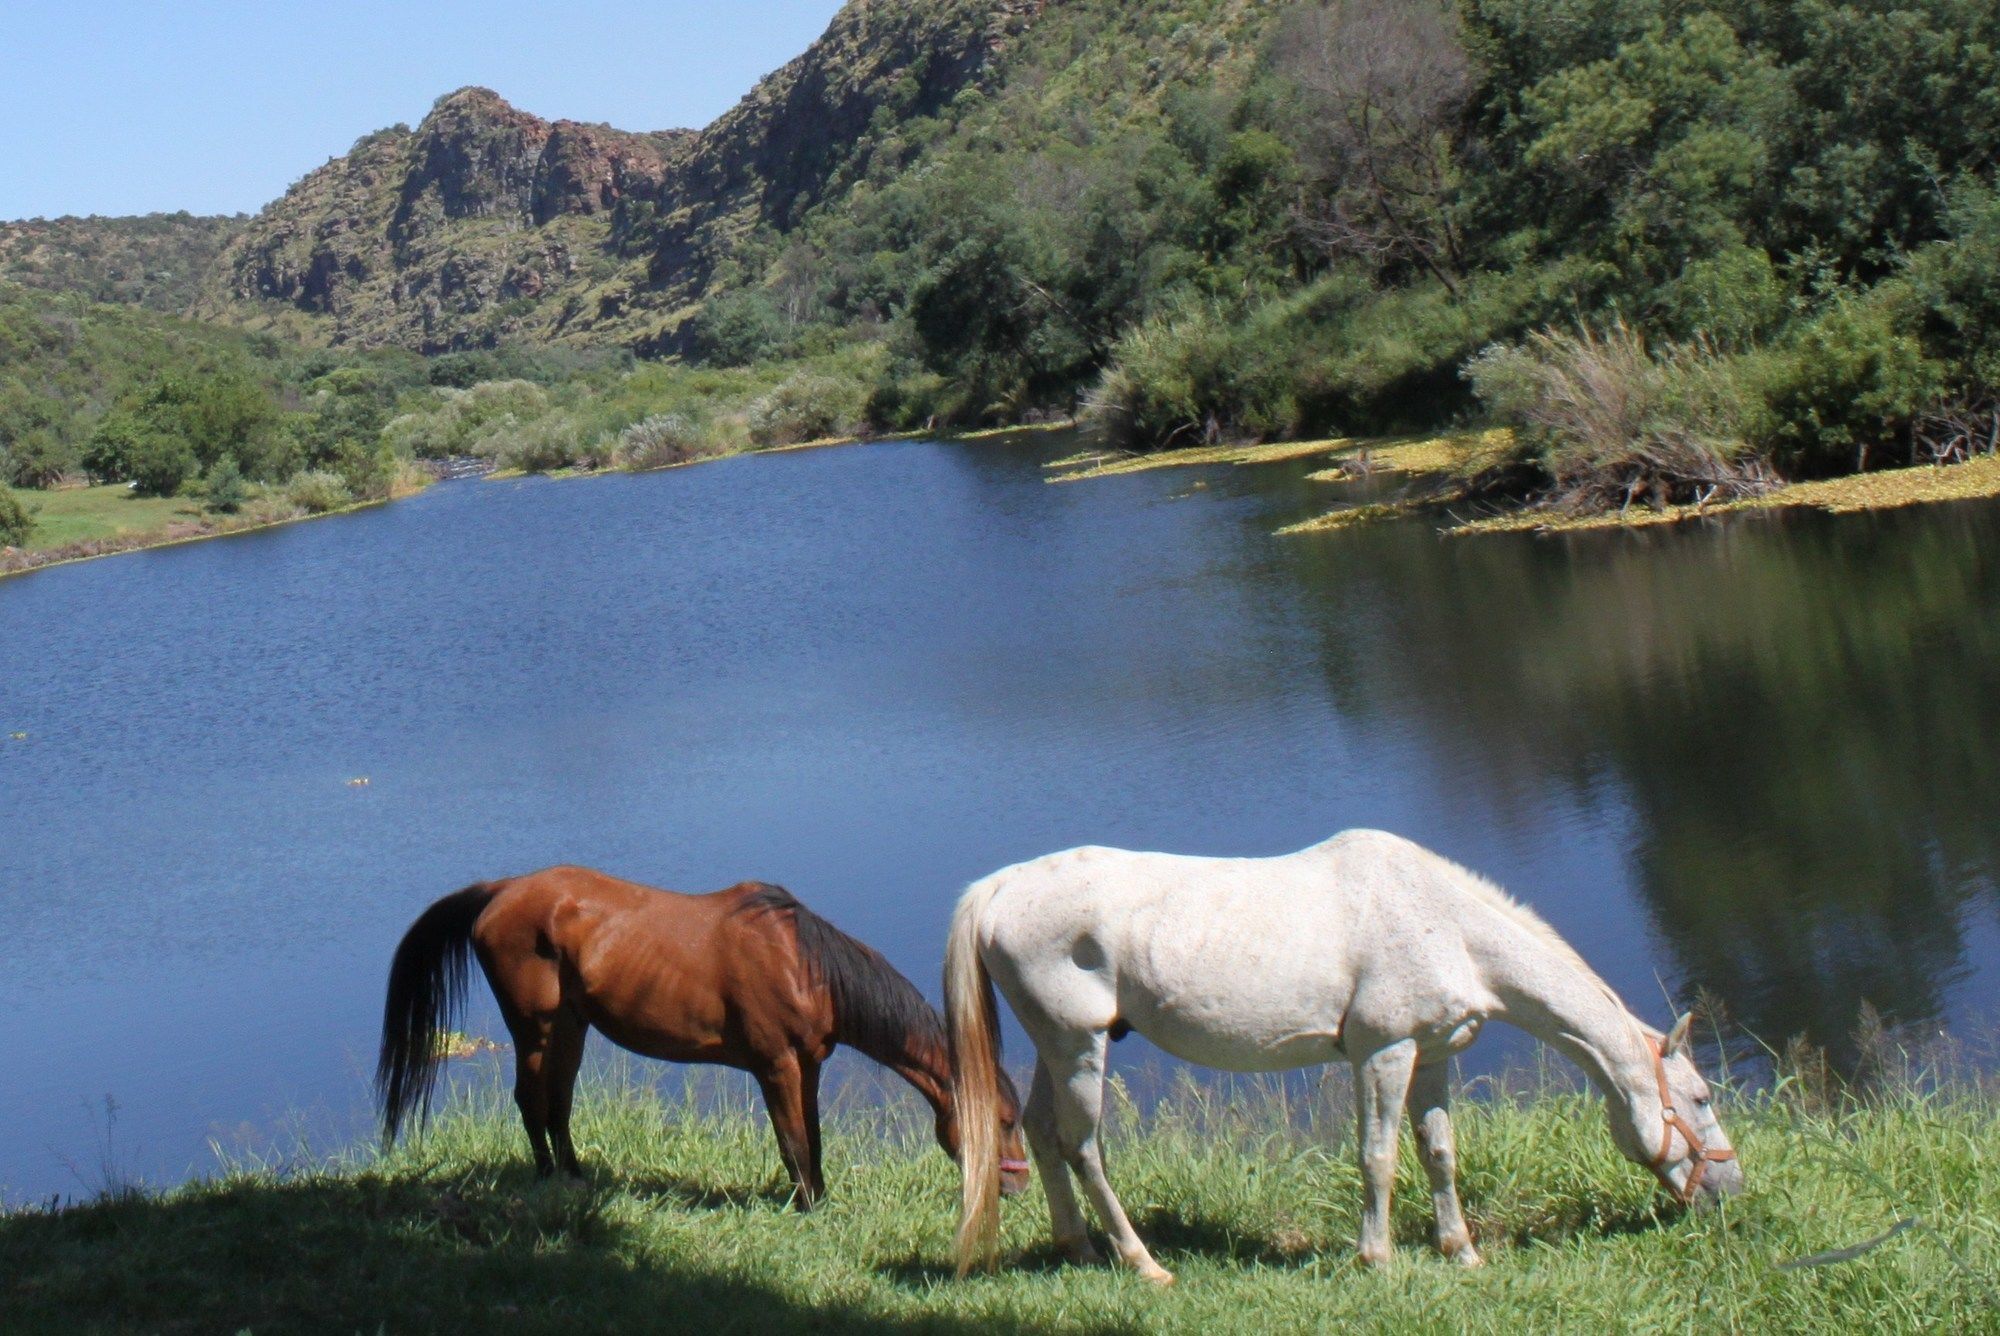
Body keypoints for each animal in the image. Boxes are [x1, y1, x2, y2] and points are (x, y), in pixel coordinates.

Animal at [376, 868, 1032, 1208]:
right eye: (1002, 1120)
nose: (1018, 1182)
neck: (804, 966)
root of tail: (499, 890)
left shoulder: (809, 1066)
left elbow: (814, 1138)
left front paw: (819, 1198)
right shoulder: (775, 1066)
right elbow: (792, 1141)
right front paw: (807, 1205)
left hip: (571, 1026)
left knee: (558, 1101)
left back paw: (575, 1174)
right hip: (534, 1028)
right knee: (532, 1099)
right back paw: (544, 1177)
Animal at [944, 828, 1744, 1280]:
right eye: (1701, 1097)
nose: (1730, 1189)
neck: (1446, 925)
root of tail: (1001, 888)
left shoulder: (1433, 1057)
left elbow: (1440, 1154)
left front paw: (1461, 1251)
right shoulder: (1383, 1054)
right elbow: (1379, 1156)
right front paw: (1377, 1257)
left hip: (1060, 1046)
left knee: (1044, 1132)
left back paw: (1079, 1249)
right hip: (1078, 1046)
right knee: (1082, 1145)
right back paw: (1144, 1265)